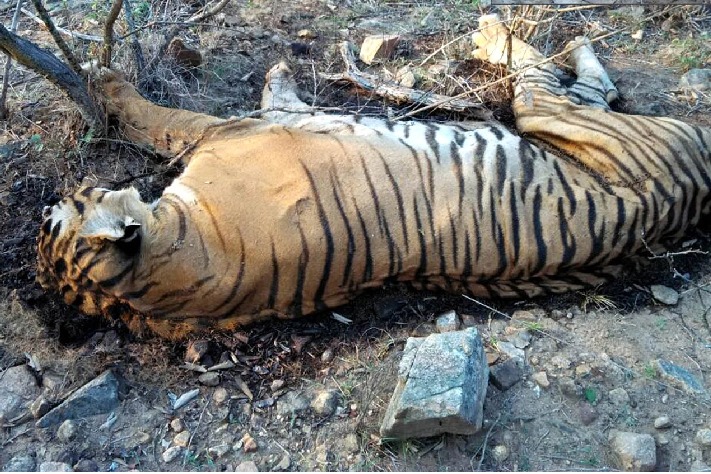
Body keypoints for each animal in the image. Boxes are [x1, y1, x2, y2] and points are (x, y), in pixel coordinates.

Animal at [37, 15, 711, 339]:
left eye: (63, 210)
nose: (56, 198)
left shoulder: (236, 128)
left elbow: (169, 116)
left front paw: (101, 78)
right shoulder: (230, 129)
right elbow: (165, 118)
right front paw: (105, 80)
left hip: (566, 120)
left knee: (574, 78)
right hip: (561, 118)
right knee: (556, 76)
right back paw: (505, 31)